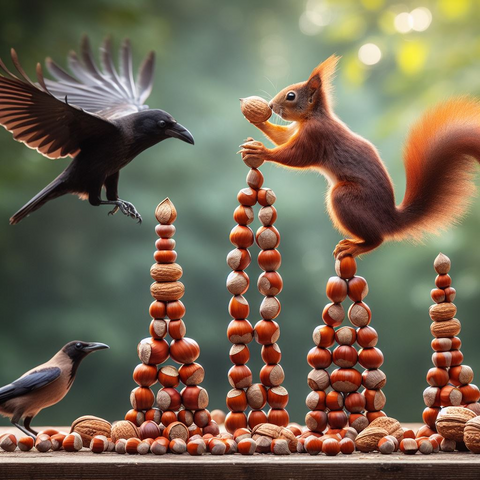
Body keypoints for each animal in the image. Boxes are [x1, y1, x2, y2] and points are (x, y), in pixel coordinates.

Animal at [240, 55, 480, 258]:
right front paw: (256, 118)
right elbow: (282, 137)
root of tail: (390, 220)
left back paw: (355, 247)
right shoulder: (295, 131)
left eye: (291, 96)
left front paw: (261, 151)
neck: (312, 116)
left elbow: (294, 156)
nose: (271, 105)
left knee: (377, 239)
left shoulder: (316, 137)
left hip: (347, 198)